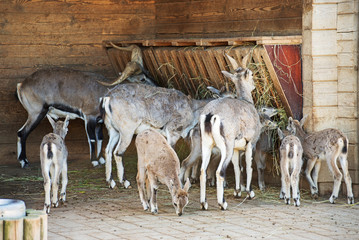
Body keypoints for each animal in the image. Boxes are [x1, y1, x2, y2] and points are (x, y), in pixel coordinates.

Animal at [200, 53, 262, 209]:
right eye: (251, 74)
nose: (254, 85)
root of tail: (211, 114)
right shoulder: (250, 144)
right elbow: (248, 167)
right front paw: (250, 193)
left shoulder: (235, 148)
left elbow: (237, 168)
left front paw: (237, 191)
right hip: (225, 147)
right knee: (220, 171)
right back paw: (222, 203)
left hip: (207, 145)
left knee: (203, 171)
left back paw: (204, 203)